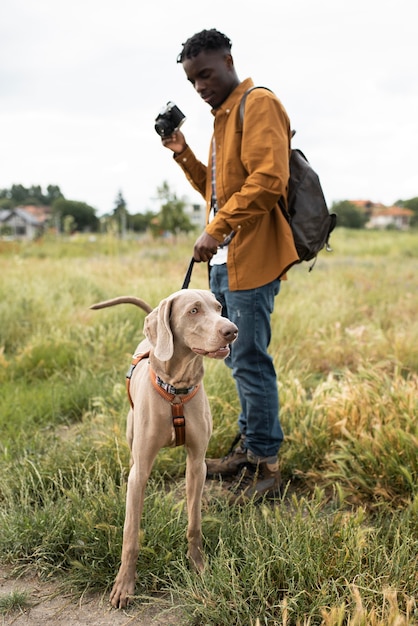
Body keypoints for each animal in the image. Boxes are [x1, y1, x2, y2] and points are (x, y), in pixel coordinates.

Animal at [90, 290, 237, 608]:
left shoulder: (197, 464)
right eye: (194, 311)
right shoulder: (140, 471)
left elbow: (194, 523)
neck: (176, 391)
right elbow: (130, 535)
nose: (232, 331)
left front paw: (198, 566)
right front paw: (124, 586)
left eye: (219, 307)